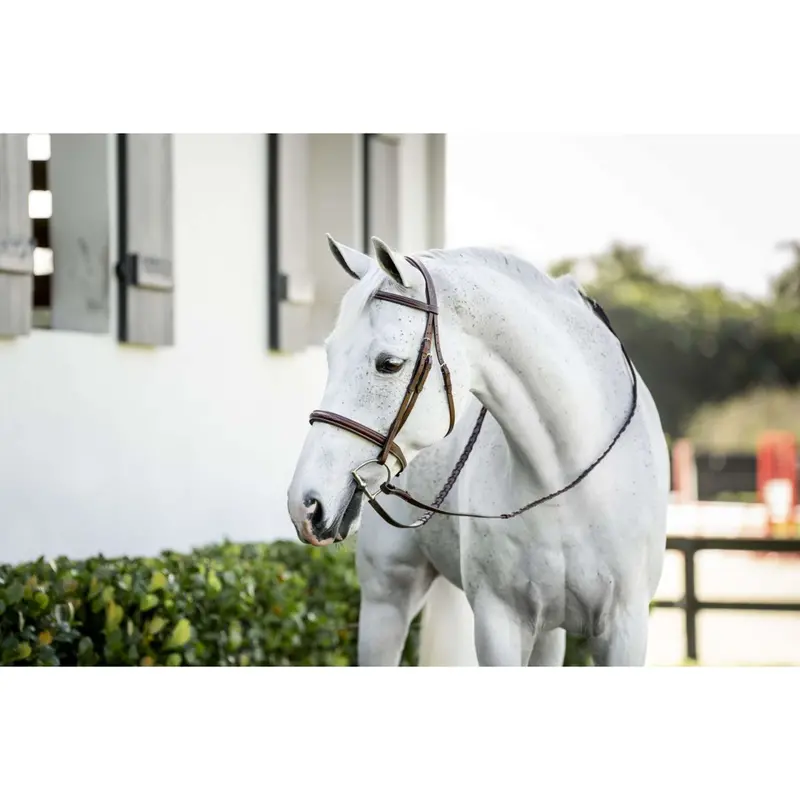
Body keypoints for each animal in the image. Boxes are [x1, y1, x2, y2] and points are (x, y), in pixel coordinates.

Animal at [287, 235, 670, 666]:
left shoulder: (624, 629)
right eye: (330, 354)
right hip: (387, 597)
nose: (306, 504)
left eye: (389, 364)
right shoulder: (500, 623)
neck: (568, 482)